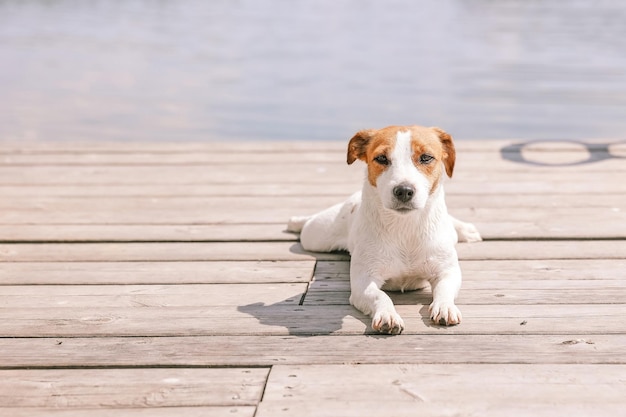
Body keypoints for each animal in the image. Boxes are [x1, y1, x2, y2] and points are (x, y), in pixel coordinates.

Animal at [286, 125, 480, 334]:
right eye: (381, 158)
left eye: (426, 157)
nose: (404, 190)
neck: (404, 227)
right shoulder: (363, 282)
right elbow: (381, 296)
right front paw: (388, 315)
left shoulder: (447, 272)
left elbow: (444, 291)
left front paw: (445, 307)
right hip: (315, 236)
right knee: (309, 224)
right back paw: (297, 221)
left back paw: (465, 229)